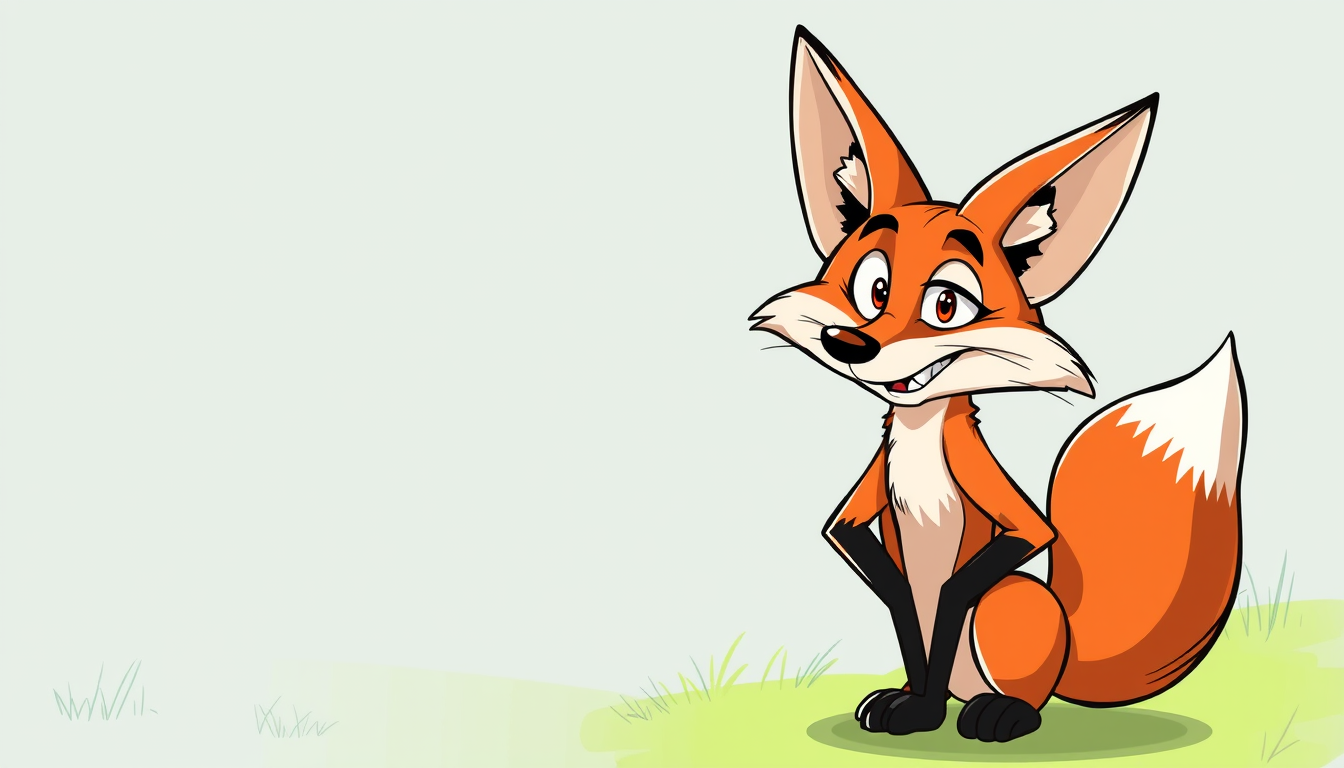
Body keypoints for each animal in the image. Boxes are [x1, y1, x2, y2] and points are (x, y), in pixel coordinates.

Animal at [749, 27, 1247, 743]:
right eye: (873, 290)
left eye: (946, 306)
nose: (853, 345)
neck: (920, 436)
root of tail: (1067, 651)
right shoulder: (867, 506)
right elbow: (892, 590)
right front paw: (913, 706)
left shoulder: (994, 501)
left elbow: (966, 585)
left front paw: (926, 708)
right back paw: (922, 698)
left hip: (1011, 603)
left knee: (1019, 681)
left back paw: (999, 712)